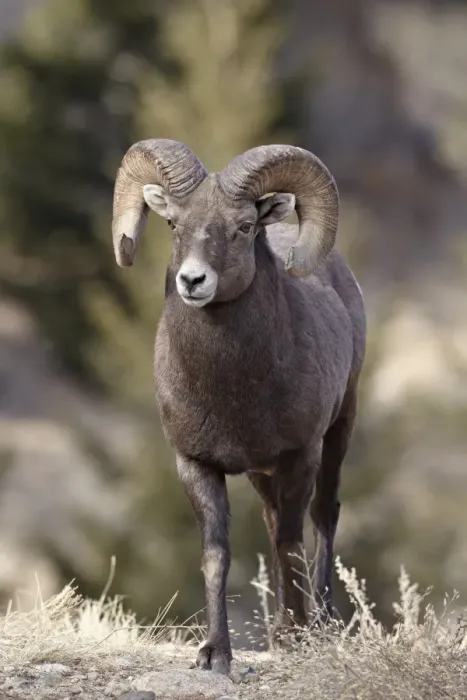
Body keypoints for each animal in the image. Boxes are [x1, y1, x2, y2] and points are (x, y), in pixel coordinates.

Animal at [111, 139, 366, 675]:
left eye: (244, 227)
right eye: (174, 224)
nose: (193, 281)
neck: (232, 390)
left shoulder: (300, 456)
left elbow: (291, 542)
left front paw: (296, 638)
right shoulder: (197, 465)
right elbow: (217, 555)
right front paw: (214, 653)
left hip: (339, 431)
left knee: (323, 515)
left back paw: (322, 625)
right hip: (260, 474)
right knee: (273, 523)